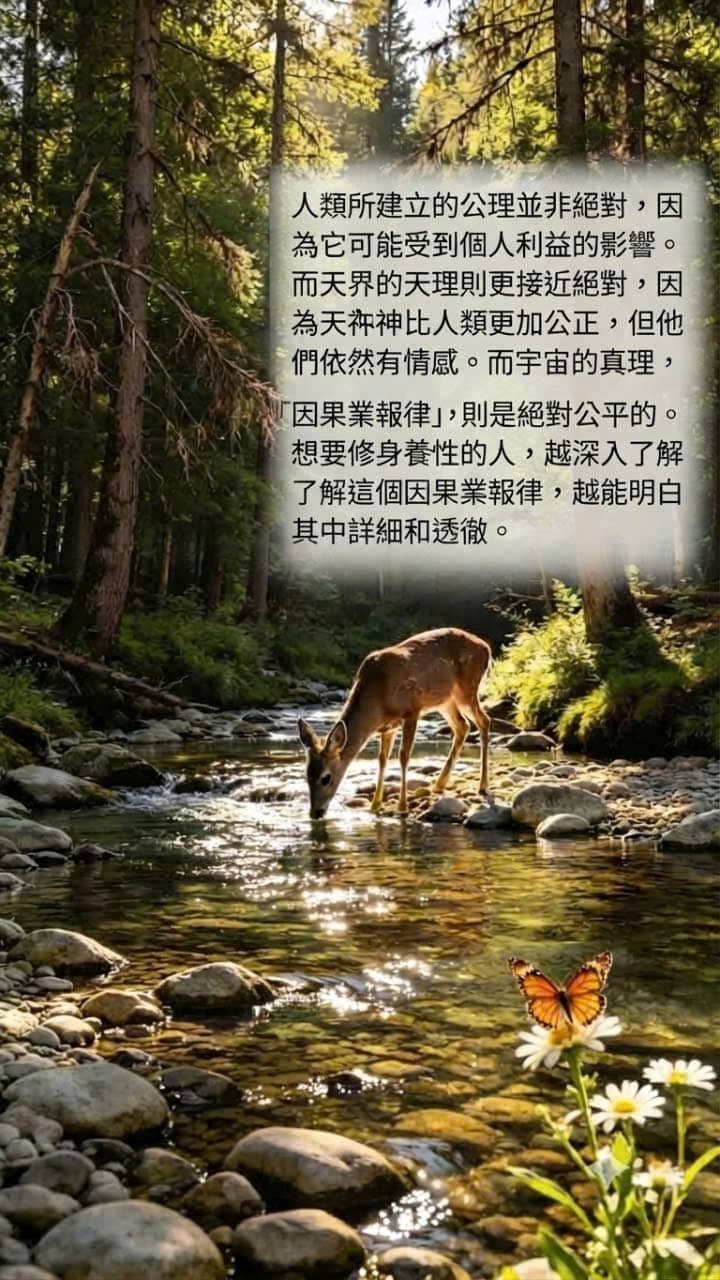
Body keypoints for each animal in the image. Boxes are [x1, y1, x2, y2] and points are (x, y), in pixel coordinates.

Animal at [298, 627, 492, 819]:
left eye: (326, 778)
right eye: (307, 775)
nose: (315, 813)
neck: (378, 699)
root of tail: (486, 647)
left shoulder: (412, 710)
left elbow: (403, 756)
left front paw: (402, 807)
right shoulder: (387, 727)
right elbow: (382, 760)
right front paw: (375, 805)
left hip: (466, 689)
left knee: (484, 720)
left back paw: (482, 786)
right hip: (445, 700)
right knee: (463, 726)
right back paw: (439, 785)